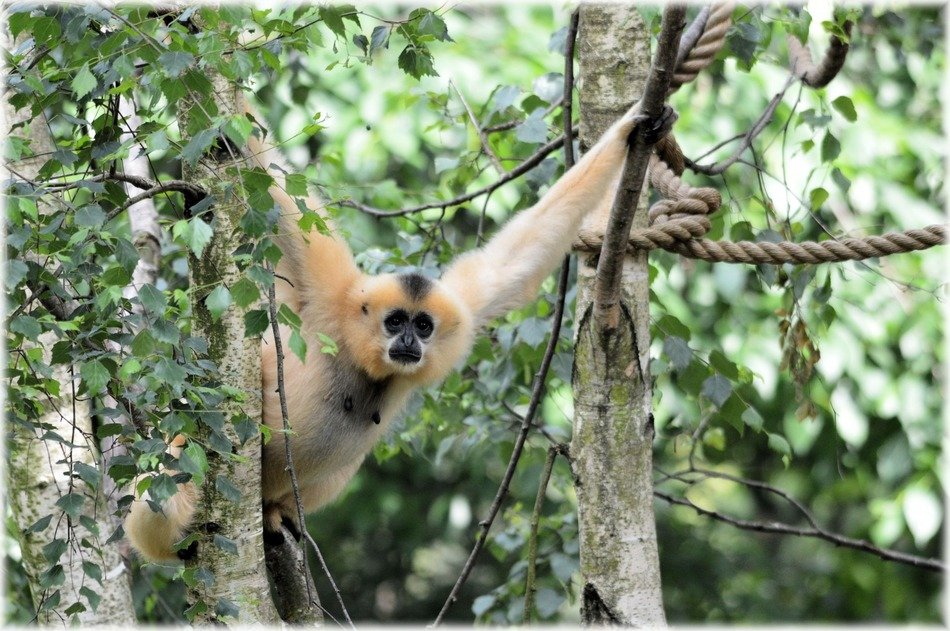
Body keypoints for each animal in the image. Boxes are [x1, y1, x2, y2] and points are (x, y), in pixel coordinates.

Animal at [124, 95, 675, 562]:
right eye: (394, 322)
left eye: (424, 326)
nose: (409, 340)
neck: (358, 351)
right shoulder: (331, 292)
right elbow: (276, 195)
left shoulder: (461, 310)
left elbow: (513, 264)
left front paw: (632, 129)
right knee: (167, 482)